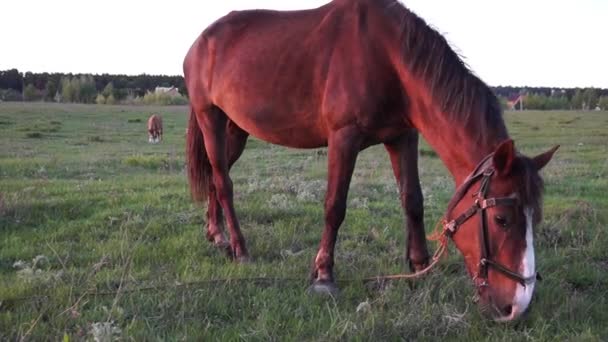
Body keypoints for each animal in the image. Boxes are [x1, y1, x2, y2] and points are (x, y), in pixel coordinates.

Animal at [183, 0, 560, 320]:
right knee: (224, 182)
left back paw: (217, 235)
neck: (388, 57)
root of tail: (201, 42)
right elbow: (335, 206)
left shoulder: (403, 138)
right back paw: (240, 248)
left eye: (535, 218)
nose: (517, 305)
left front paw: (418, 266)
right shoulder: (343, 138)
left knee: (217, 177)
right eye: (501, 220)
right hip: (210, 118)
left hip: (236, 128)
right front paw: (324, 275)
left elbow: (413, 201)